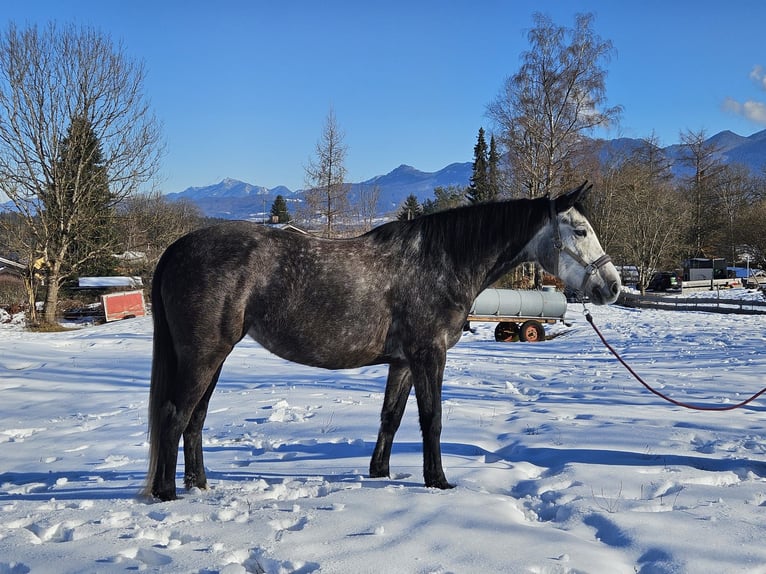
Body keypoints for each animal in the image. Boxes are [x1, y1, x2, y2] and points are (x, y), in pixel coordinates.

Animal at [143, 182, 621, 501]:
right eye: (579, 231)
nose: (612, 286)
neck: (440, 262)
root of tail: (177, 249)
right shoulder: (429, 355)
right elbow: (432, 419)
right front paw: (438, 481)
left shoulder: (403, 362)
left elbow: (390, 417)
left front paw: (381, 474)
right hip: (204, 355)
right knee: (175, 416)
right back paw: (167, 494)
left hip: (212, 356)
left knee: (195, 420)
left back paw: (200, 487)